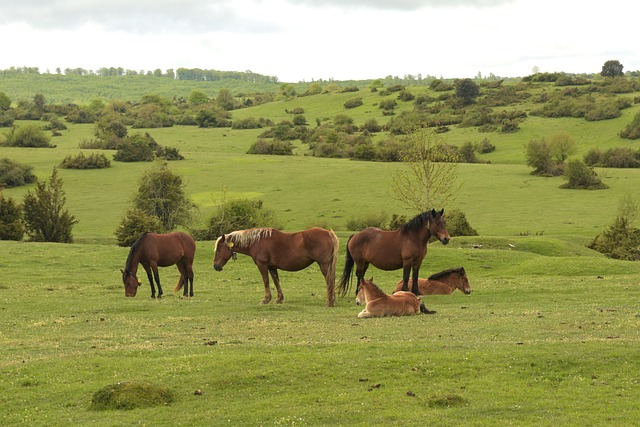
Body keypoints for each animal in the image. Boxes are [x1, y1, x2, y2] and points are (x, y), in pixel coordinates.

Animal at [212, 227, 340, 308]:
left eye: (218, 250)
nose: (216, 266)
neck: (256, 241)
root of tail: (328, 233)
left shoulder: (262, 265)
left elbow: (266, 281)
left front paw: (265, 299)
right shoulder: (272, 267)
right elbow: (276, 282)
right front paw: (279, 299)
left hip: (324, 265)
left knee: (329, 280)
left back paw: (329, 302)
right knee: (332, 280)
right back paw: (332, 300)